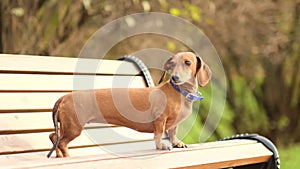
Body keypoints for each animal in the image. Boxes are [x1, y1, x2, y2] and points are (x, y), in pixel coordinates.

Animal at [47, 52, 211, 158]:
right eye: (172, 64)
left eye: (188, 62)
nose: (175, 77)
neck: (179, 92)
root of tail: (63, 97)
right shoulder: (160, 119)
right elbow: (159, 135)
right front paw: (161, 146)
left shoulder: (173, 124)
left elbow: (172, 133)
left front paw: (177, 143)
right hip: (74, 127)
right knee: (61, 142)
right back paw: (67, 156)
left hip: (67, 125)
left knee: (53, 136)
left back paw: (59, 155)